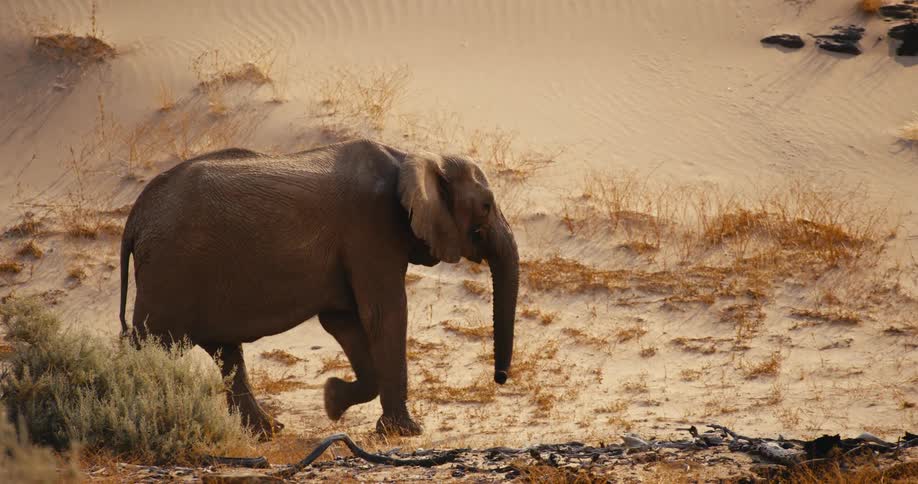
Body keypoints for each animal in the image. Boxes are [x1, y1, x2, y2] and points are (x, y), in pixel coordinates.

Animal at [117, 139, 519, 437]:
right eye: (486, 206)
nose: (500, 379)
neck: (411, 156)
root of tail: (135, 218)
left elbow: (344, 322)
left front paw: (332, 401)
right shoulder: (371, 230)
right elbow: (385, 314)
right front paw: (406, 431)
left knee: (225, 351)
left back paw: (268, 431)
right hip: (170, 271)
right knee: (151, 343)